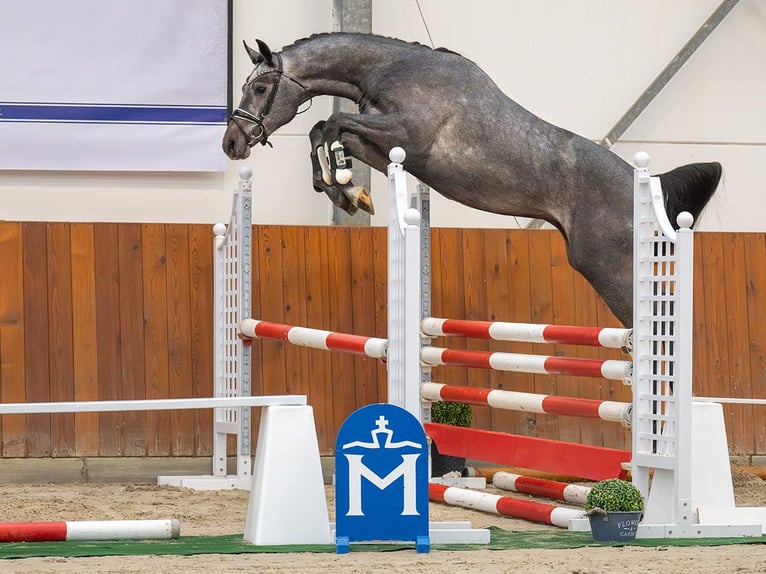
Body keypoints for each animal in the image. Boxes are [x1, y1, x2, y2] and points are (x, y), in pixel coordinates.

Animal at [225, 32, 724, 328]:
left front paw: (345, 185)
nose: (232, 143)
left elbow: (330, 125)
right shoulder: (386, 148)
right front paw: (347, 191)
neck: (391, 69)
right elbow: (323, 131)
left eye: (261, 88)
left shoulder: (405, 134)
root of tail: (649, 186)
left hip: (608, 268)